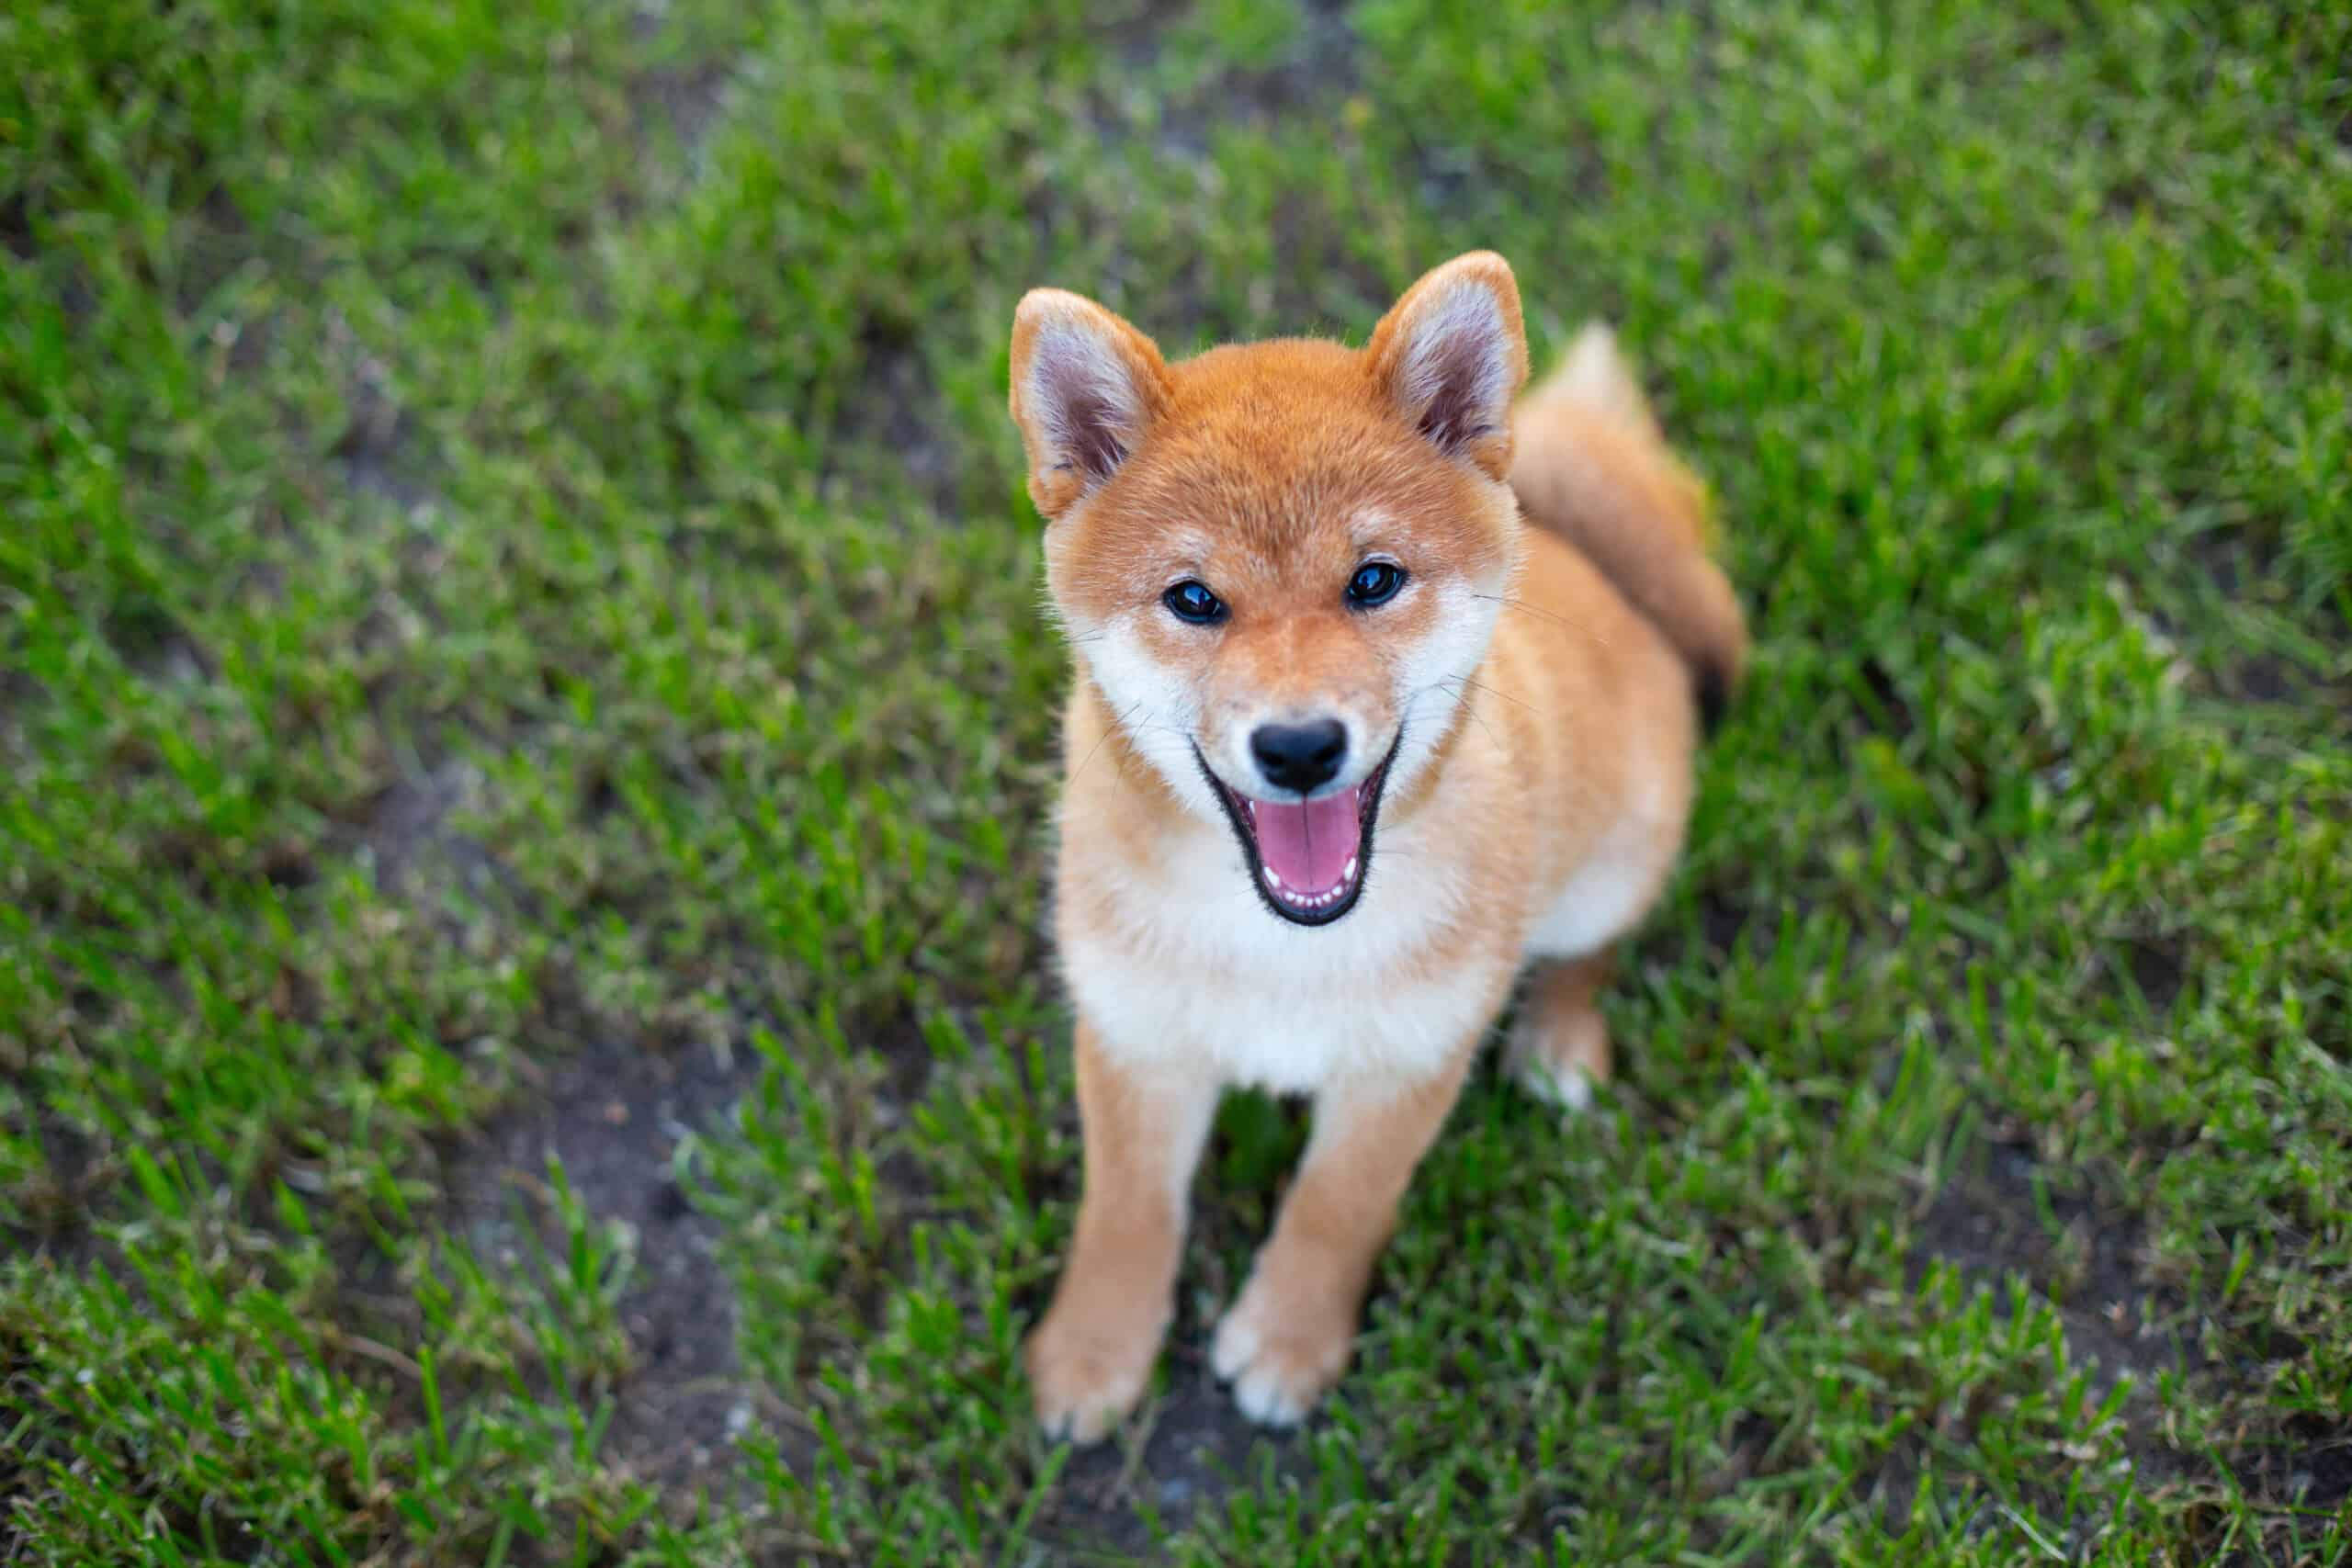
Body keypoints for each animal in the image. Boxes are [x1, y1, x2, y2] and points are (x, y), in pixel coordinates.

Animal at [1011, 251, 1749, 1438]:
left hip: (1609, 867)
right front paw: (1093, 1354)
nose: (1300, 747)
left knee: (1589, 953)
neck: (1283, 945)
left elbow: (1332, 1210)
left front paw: (1288, 1341)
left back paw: (1559, 1040)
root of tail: (1607, 577)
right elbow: (1125, 1215)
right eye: (1192, 599)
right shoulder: (1136, 1037)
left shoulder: (1410, 1060)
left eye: (1373, 581)